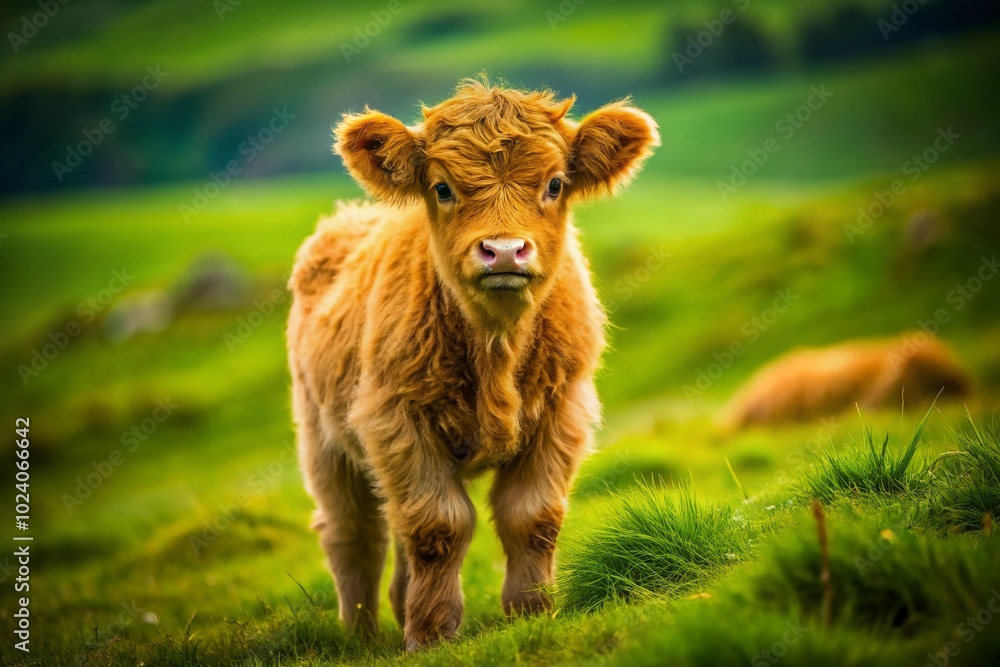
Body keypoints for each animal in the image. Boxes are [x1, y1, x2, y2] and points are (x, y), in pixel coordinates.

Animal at [286, 78, 658, 650]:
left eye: (555, 184)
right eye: (442, 188)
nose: (503, 251)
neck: (496, 349)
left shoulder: (563, 412)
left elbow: (532, 518)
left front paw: (531, 612)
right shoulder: (395, 419)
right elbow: (438, 525)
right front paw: (432, 634)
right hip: (323, 438)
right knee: (354, 534)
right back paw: (361, 636)